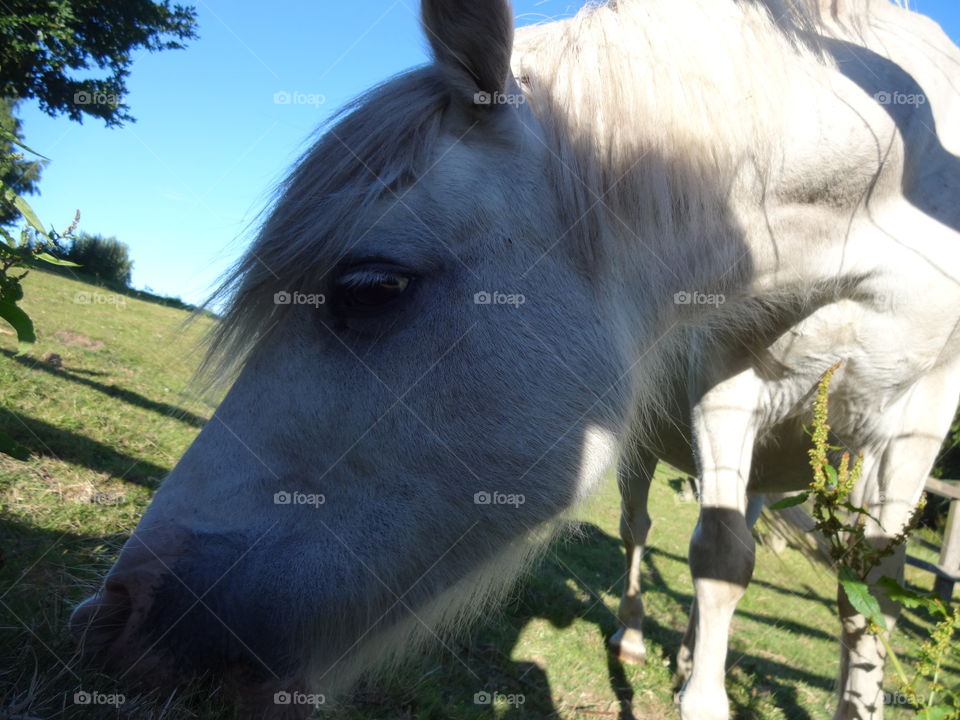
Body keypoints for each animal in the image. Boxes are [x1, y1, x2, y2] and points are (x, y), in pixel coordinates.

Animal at [69, 1, 960, 720]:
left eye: (372, 287)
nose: (111, 613)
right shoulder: (727, 384)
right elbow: (720, 557)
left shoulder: (917, 426)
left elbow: (872, 594)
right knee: (645, 531)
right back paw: (642, 642)